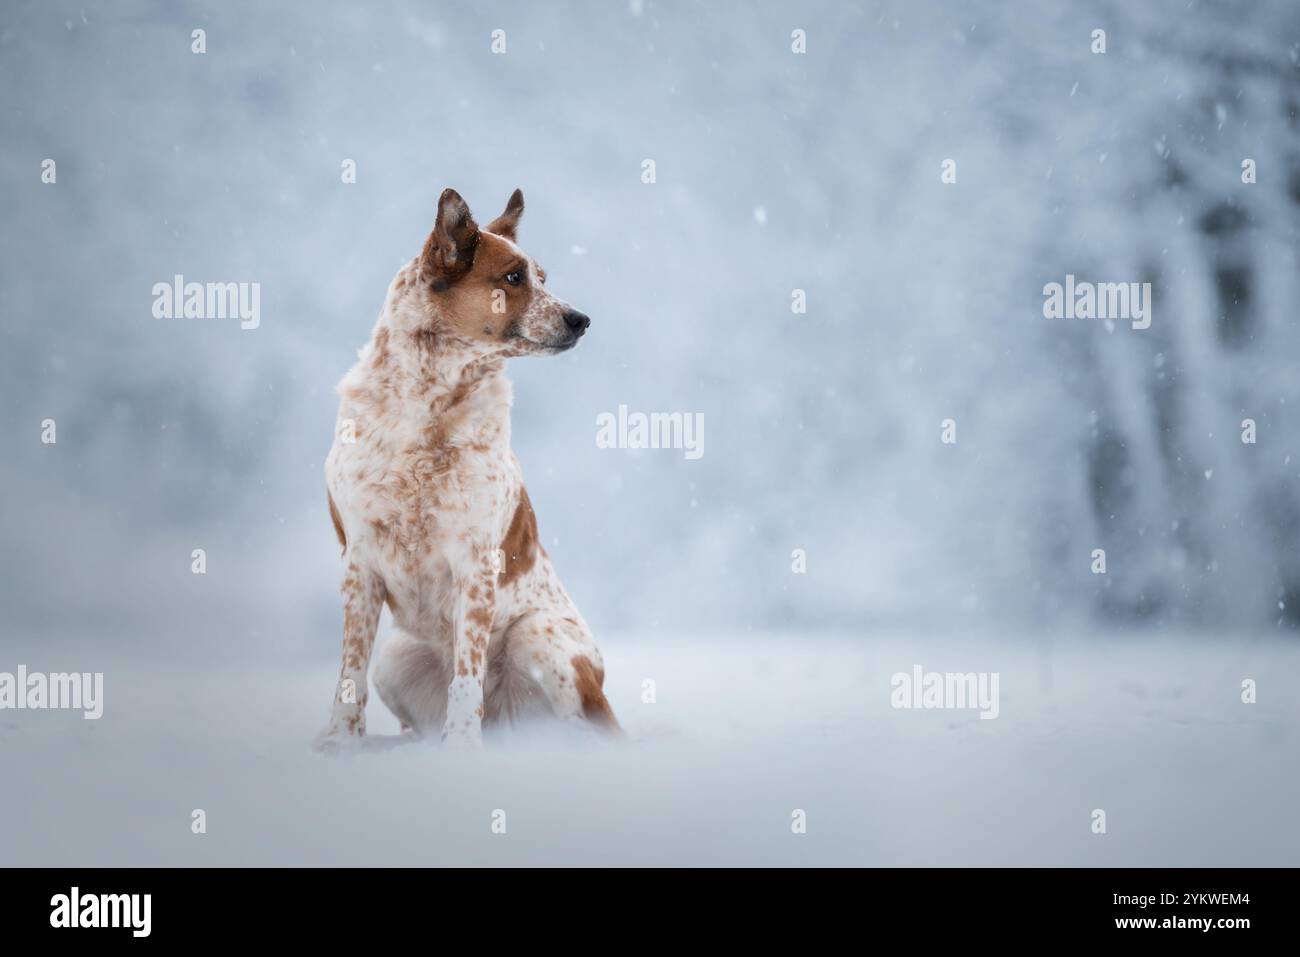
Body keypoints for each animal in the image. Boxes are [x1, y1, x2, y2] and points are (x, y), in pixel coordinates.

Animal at [314, 187, 618, 748]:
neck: (428, 403)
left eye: (545, 277)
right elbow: (350, 668)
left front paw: (460, 748)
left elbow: (467, 671)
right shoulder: (359, 560)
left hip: (539, 637)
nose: (581, 318)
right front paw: (341, 741)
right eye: (514, 277)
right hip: (396, 657)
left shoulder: (475, 561)